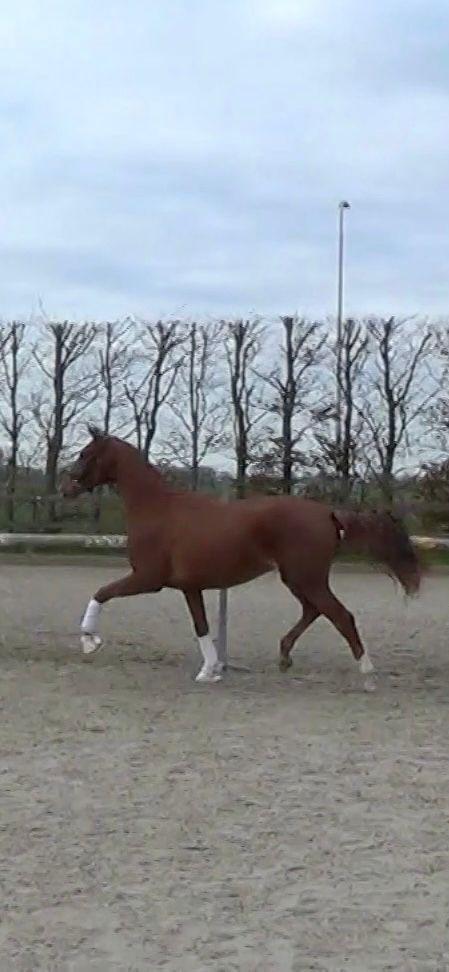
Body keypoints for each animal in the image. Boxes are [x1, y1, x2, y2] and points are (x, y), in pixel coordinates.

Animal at [61, 427, 421, 687]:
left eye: (85, 454)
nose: (66, 489)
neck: (157, 509)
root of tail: (328, 513)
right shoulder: (190, 587)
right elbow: (202, 627)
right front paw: (209, 671)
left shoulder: (148, 578)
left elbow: (101, 593)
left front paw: (89, 641)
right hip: (299, 578)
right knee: (314, 610)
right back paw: (285, 657)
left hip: (306, 577)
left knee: (340, 615)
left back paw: (367, 671)